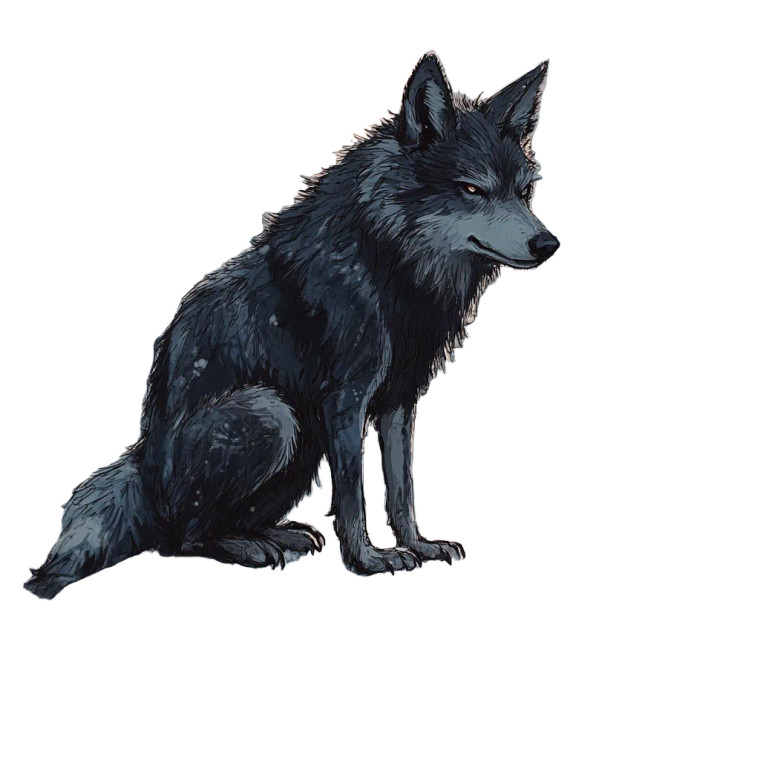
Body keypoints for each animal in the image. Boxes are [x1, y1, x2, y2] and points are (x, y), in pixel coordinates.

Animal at [25, 52, 559, 598]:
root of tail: (145, 471)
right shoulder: (345, 400)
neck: (393, 265)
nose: (548, 244)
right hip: (274, 414)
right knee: (182, 539)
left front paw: (419, 544)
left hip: (300, 446)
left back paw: (277, 535)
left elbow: (402, 487)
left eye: (524, 192)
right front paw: (368, 560)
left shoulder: (399, 400)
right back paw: (252, 548)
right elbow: (354, 496)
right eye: (472, 188)